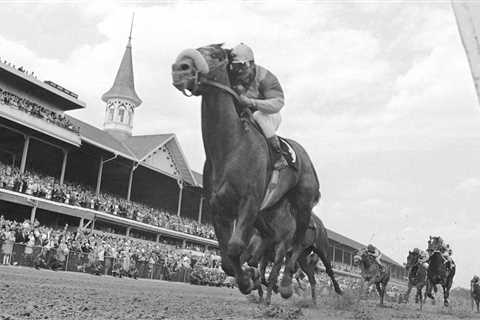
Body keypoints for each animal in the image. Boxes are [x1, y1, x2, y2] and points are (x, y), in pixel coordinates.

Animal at [171, 43, 320, 296]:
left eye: (216, 54)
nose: (180, 68)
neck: (231, 146)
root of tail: (304, 155)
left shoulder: (249, 201)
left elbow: (234, 247)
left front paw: (249, 280)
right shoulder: (218, 207)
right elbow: (226, 259)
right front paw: (248, 278)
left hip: (302, 204)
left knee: (297, 244)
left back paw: (286, 284)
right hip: (267, 212)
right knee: (269, 241)